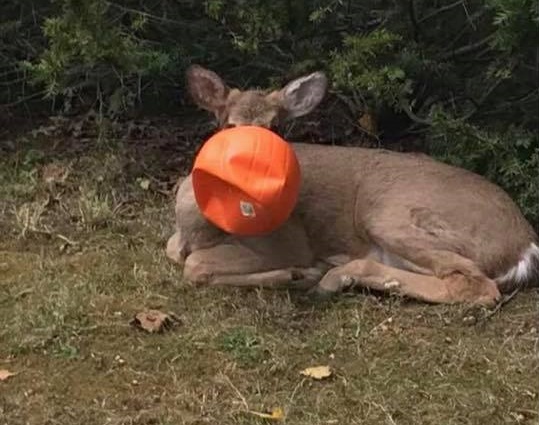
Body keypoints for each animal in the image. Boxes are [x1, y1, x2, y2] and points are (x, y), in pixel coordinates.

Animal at [167, 64, 536, 304]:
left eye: (276, 127)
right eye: (230, 125)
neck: (201, 227)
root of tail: (525, 245)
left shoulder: (288, 240)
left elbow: (194, 265)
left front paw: (296, 274)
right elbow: (176, 253)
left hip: (391, 215)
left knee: (476, 286)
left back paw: (328, 277)